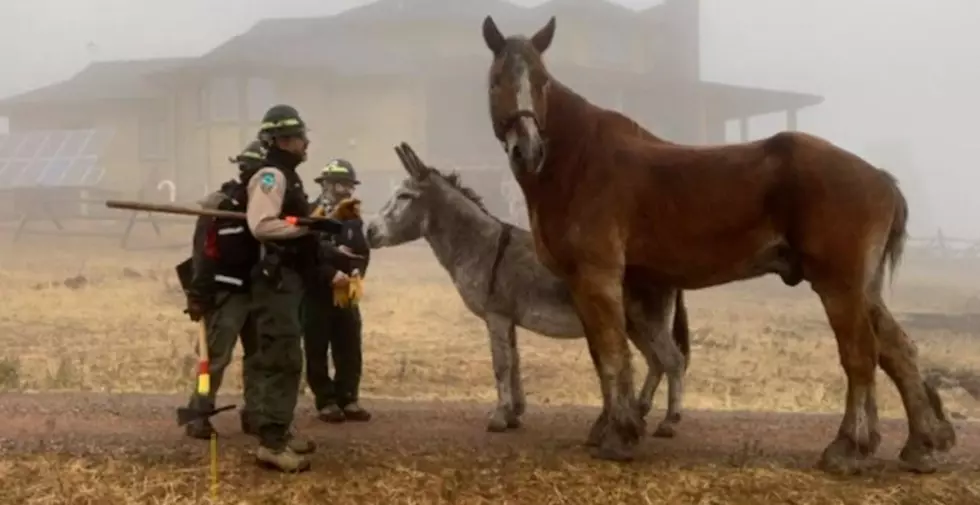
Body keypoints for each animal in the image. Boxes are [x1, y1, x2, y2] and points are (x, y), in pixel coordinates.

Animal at [482, 16, 956, 472]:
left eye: (542, 80)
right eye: (496, 80)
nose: (528, 150)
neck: (578, 162)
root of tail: (880, 178)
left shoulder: (596, 278)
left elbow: (613, 355)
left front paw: (619, 436)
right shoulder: (588, 285)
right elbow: (603, 357)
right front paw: (610, 428)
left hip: (839, 287)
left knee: (860, 355)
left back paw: (848, 449)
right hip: (863, 290)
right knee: (898, 352)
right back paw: (922, 445)